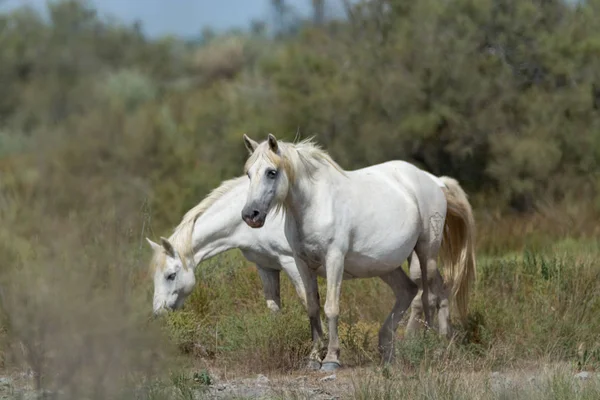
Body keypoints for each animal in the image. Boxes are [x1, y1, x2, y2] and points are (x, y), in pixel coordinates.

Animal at [241, 134, 476, 372]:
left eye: (272, 172)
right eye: (249, 173)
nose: (251, 215)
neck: (315, 204)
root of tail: (435, 181)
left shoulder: (334, 258)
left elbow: (331, 307)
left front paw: (331, 359)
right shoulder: (302, 263)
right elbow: (312, 307)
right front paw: (313, 358)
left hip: (426, 252)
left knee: (429, 295)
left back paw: (429, 345)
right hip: (389, 264)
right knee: (415, 290)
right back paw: (402, 348)